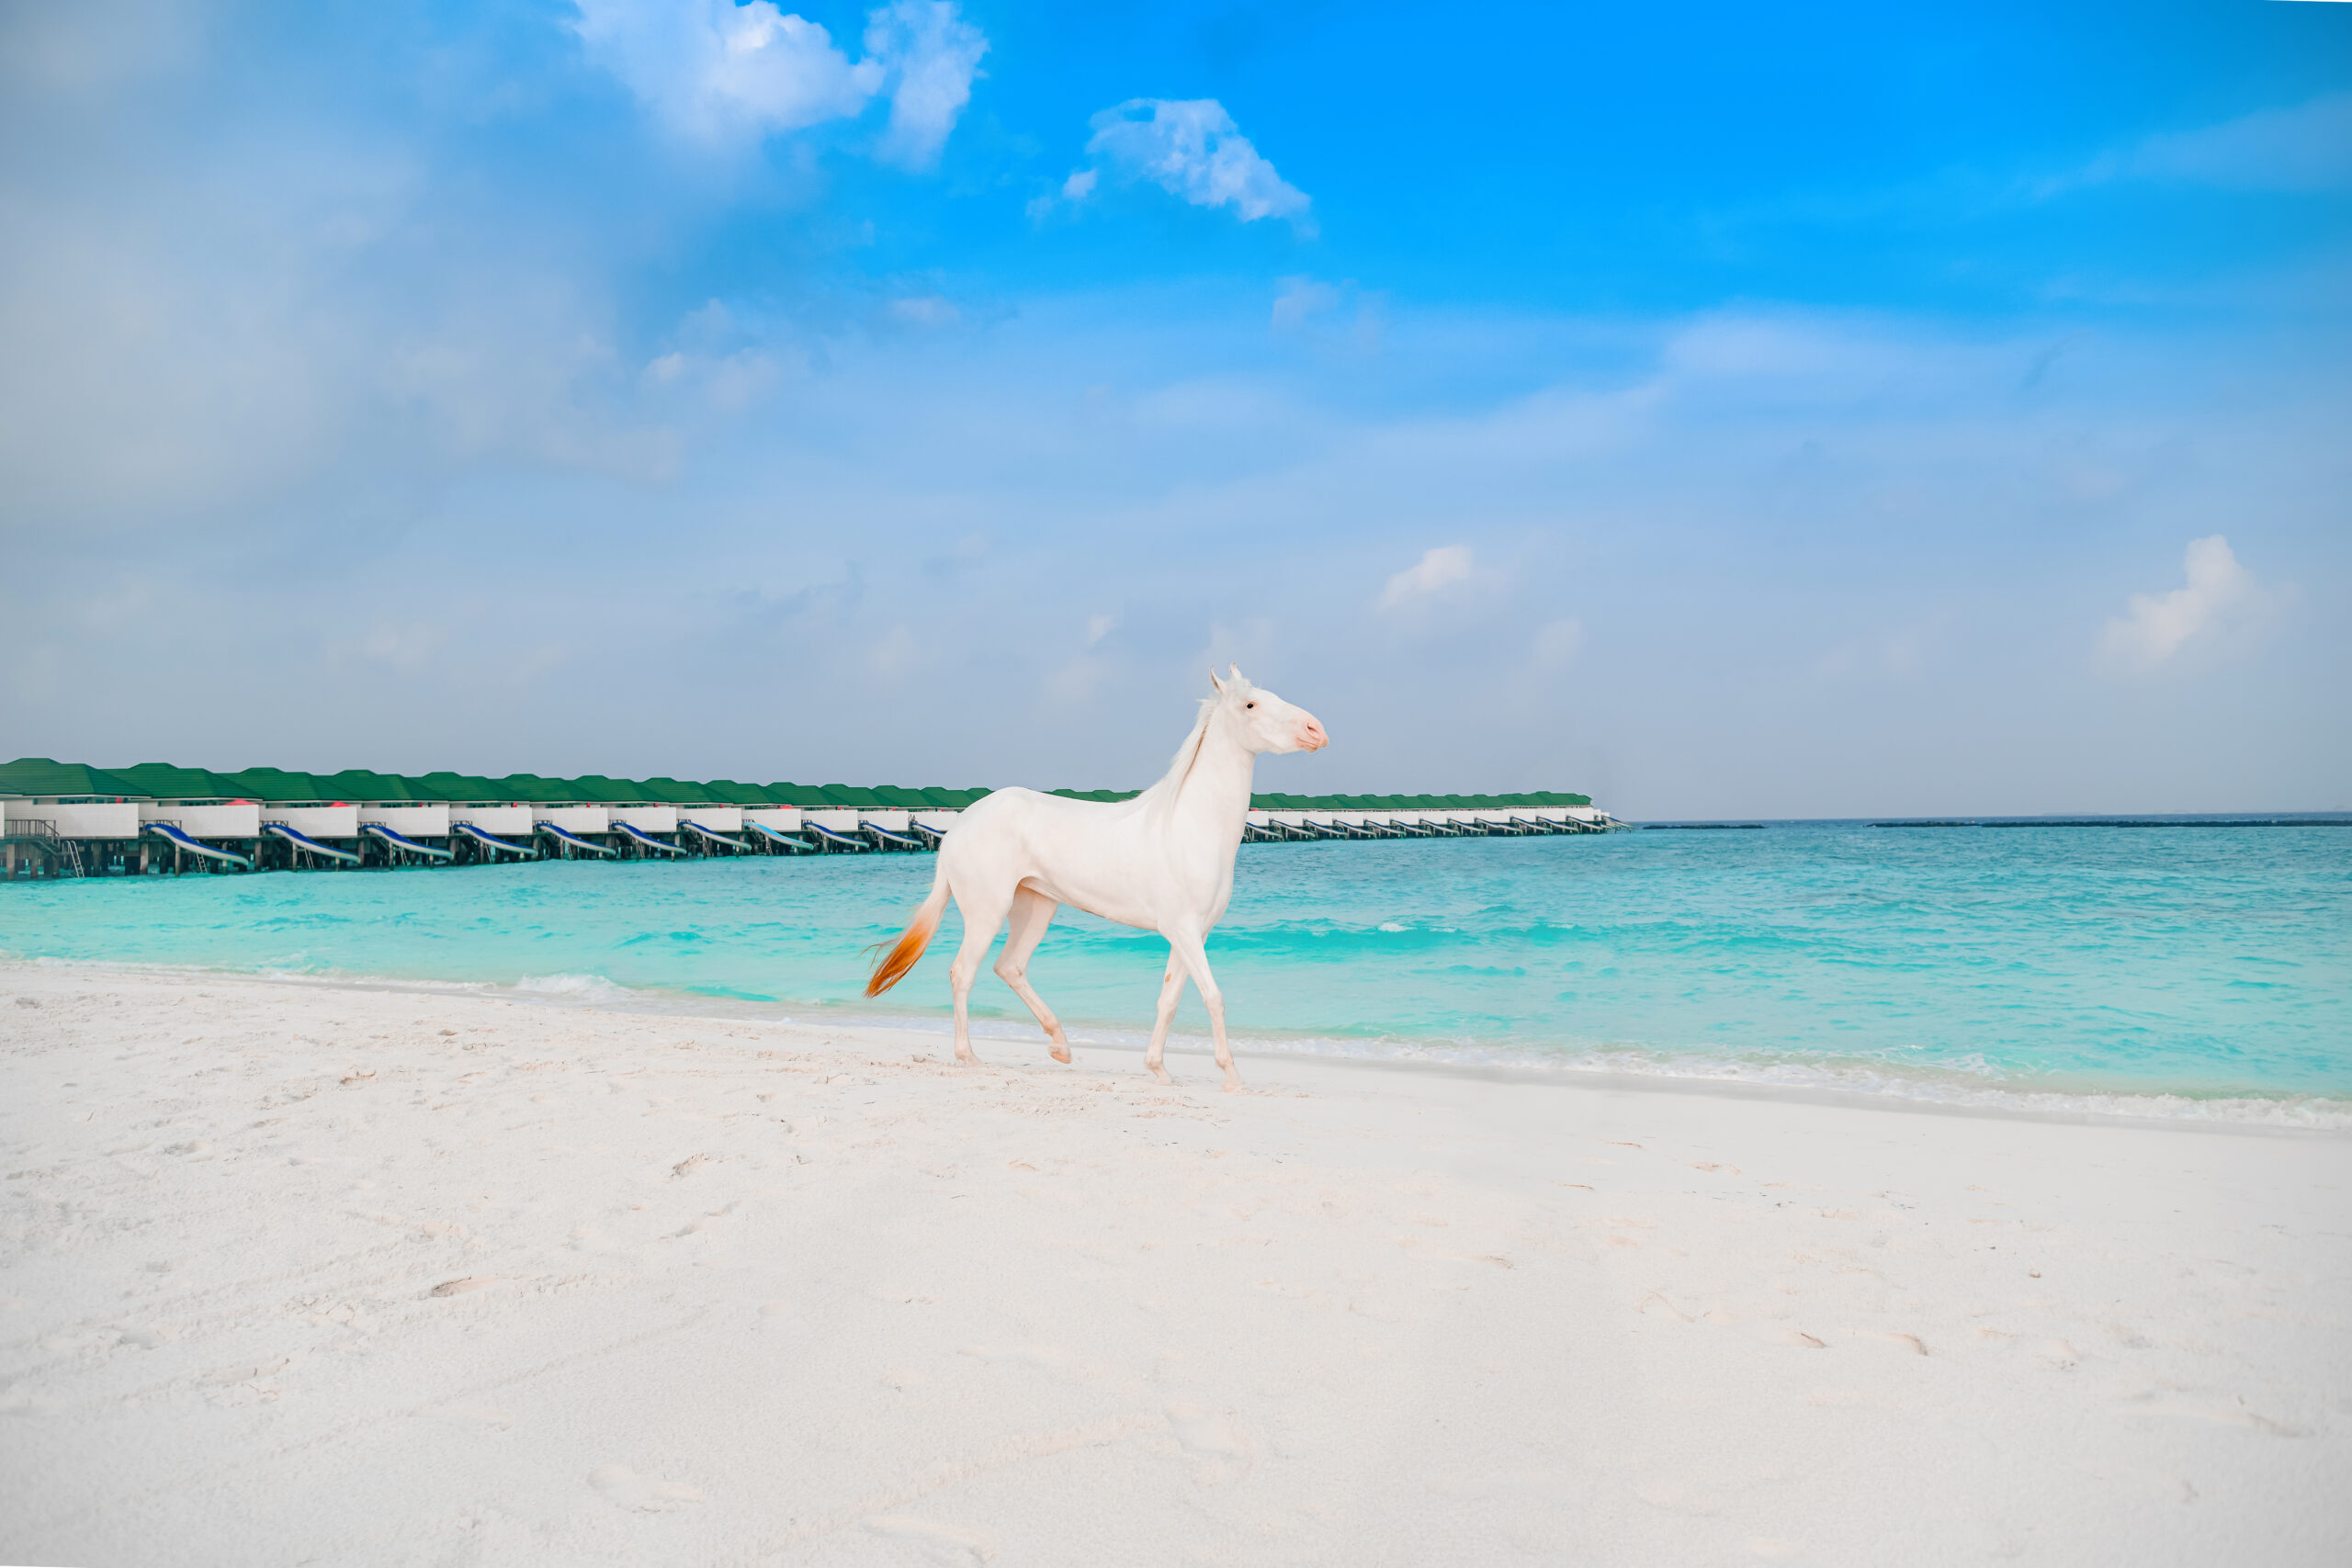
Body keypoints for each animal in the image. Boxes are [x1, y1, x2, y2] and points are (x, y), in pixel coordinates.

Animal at [865, 665, 1328, 1091]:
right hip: (987, 912)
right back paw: (970, 1057)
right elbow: (1213, 996)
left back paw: (1060, 1047)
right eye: (1250, 705)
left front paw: (1159, 1070)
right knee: (963, 972)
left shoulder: (1192, 933)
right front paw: (1232, 1076)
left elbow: (1169, 999)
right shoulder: (1183, 930)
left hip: (1037, 908)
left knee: (1010, 967)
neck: (1190, 824)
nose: (1316, 731)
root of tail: (957, 828)